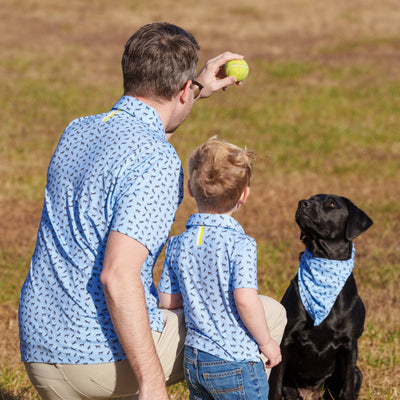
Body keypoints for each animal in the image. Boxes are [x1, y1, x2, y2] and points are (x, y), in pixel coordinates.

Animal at [270, 195, 374, 400]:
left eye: (331, 203)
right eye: (310, 198)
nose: (302, 202)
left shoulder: (350, 344)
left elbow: (347, 389)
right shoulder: (286, 338)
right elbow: (275, 387)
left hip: (357, 372)